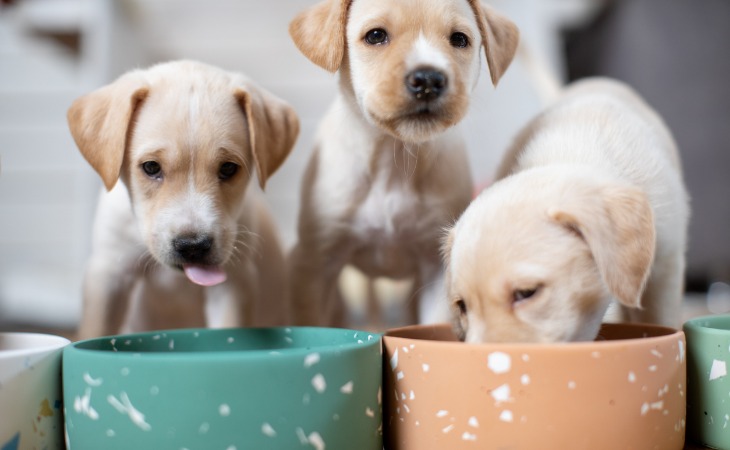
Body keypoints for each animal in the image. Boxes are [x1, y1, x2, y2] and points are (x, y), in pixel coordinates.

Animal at [66, 59, 298, 338]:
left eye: (228, 168)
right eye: (151, 167)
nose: (193, 246)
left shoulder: (233, 283)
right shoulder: (108, 275)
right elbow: (95, 331)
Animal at [284, 0, 516, 326]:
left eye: (459, 39)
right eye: (375, 35)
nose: (429, 79)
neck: (395, 161)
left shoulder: (436, 268)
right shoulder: (313, 264)